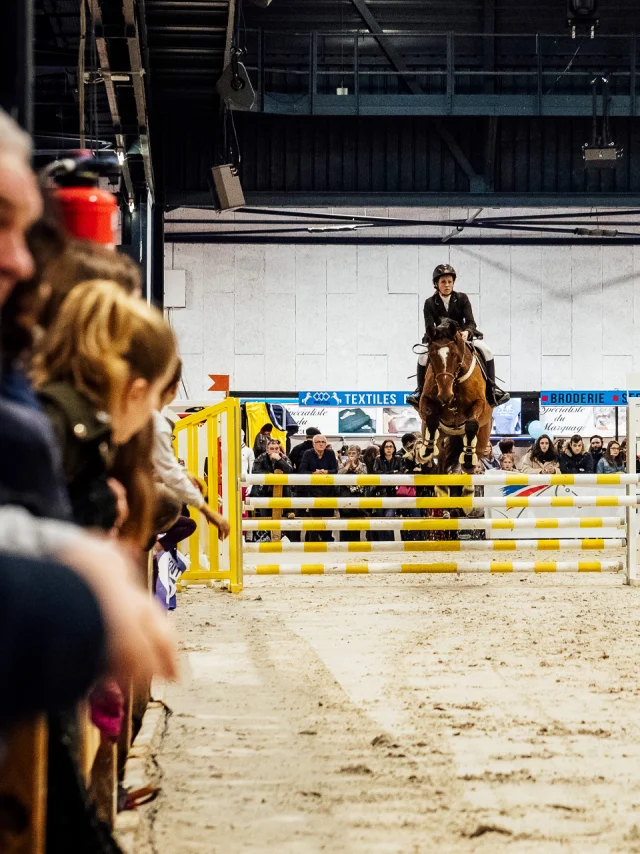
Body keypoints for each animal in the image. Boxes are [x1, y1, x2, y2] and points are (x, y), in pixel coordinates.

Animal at [414, 319, 493, 474]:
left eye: (456, 355)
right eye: (431, 356)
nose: (445, 395)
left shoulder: (480, 403)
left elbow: (471, 424)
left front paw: (467, 459)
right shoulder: (425, 401)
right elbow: (431, 419)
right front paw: (425, 451)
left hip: (483, 439)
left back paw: (469, 461)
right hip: (440, 439)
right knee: (441, 457)